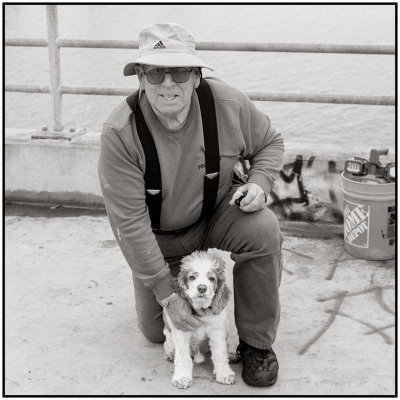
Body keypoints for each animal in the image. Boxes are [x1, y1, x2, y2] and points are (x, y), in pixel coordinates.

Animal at [162, 252, 234, 390]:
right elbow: (183, 357)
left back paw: (232, 353)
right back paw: (171, 353)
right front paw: (182, 378)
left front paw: (224, 374)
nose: (202, 288)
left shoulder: (217, 330)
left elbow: (220, 353)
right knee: (168, 343)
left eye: (212, 278)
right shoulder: (181, 332)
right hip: (168, 332)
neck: (201, 309)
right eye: (192, 277)